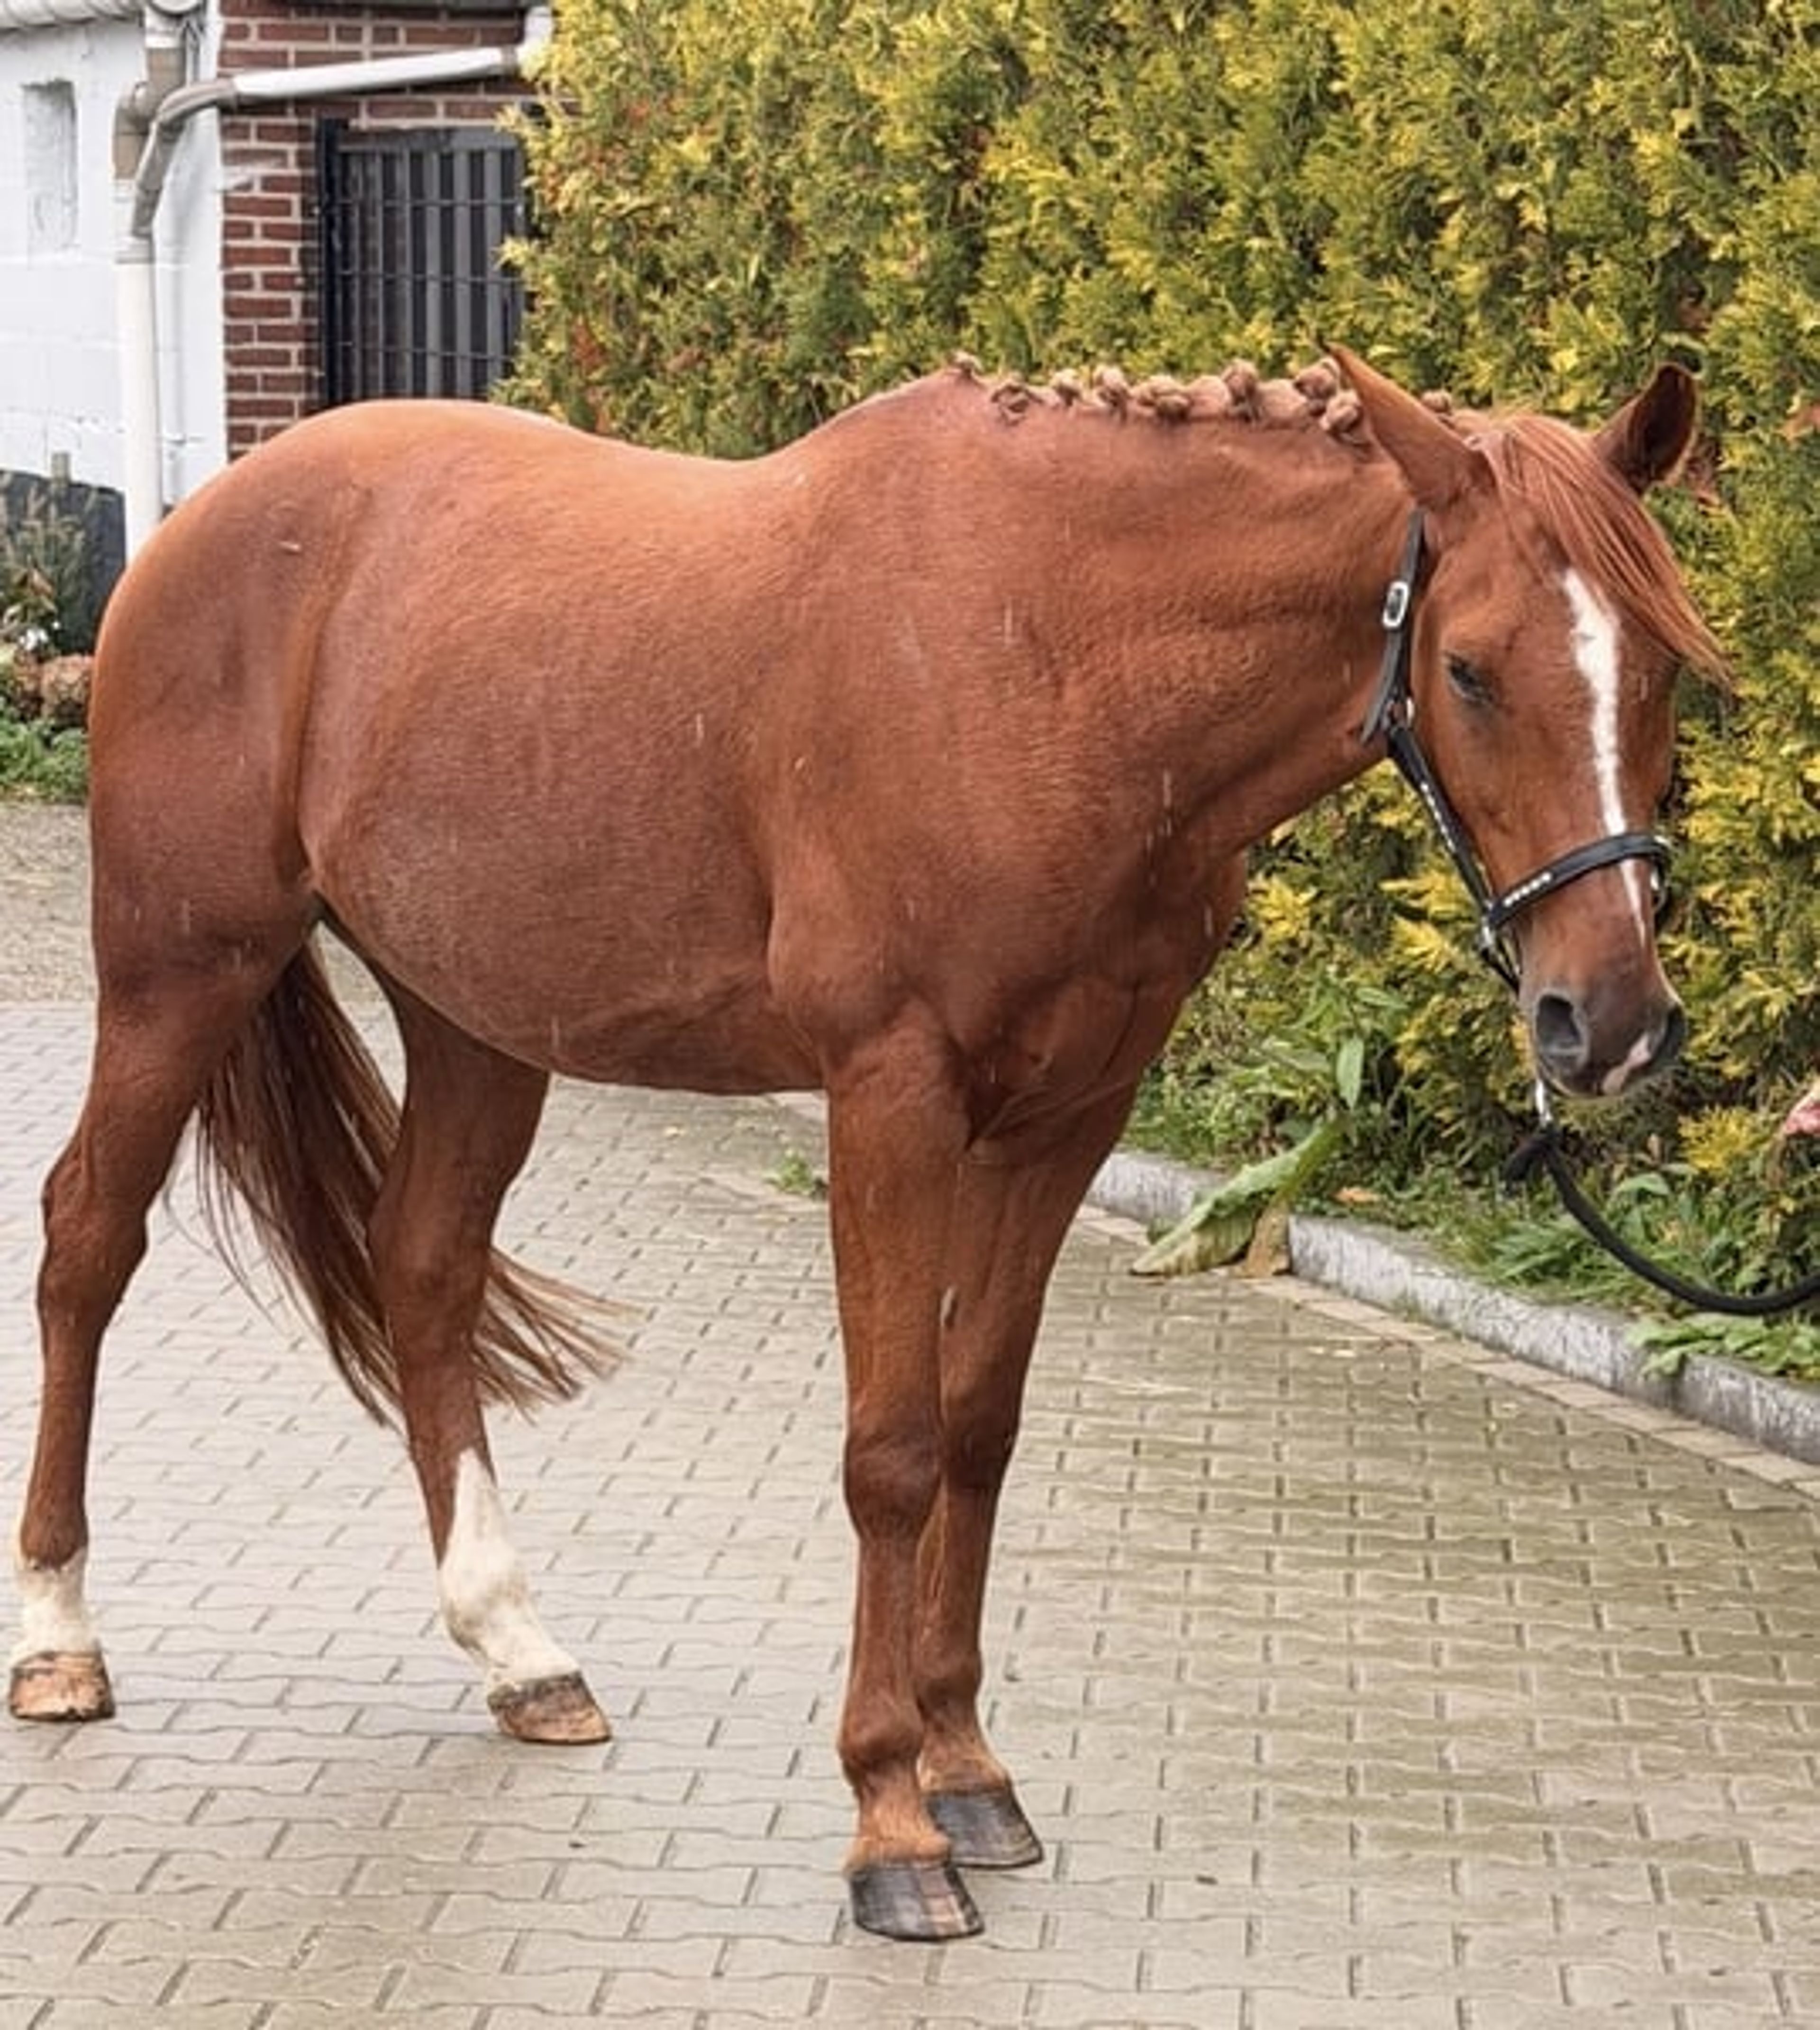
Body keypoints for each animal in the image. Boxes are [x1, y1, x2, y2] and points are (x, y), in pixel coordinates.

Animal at [8, 347, 1724, 1941]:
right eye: (1472, 668)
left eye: (1662, 666)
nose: (1609, 1017)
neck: (1044, 654)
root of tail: (205, 519)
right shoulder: (892, 1099)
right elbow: (891, 1450)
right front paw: (891, 1825)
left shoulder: (1066, 1119)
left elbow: (978, 1425)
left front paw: (969, 1774)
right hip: (181, 970)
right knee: (88, 1240)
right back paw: (60, 1638)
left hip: (477, 1020)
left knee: (424, 1272)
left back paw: (521, 1652)